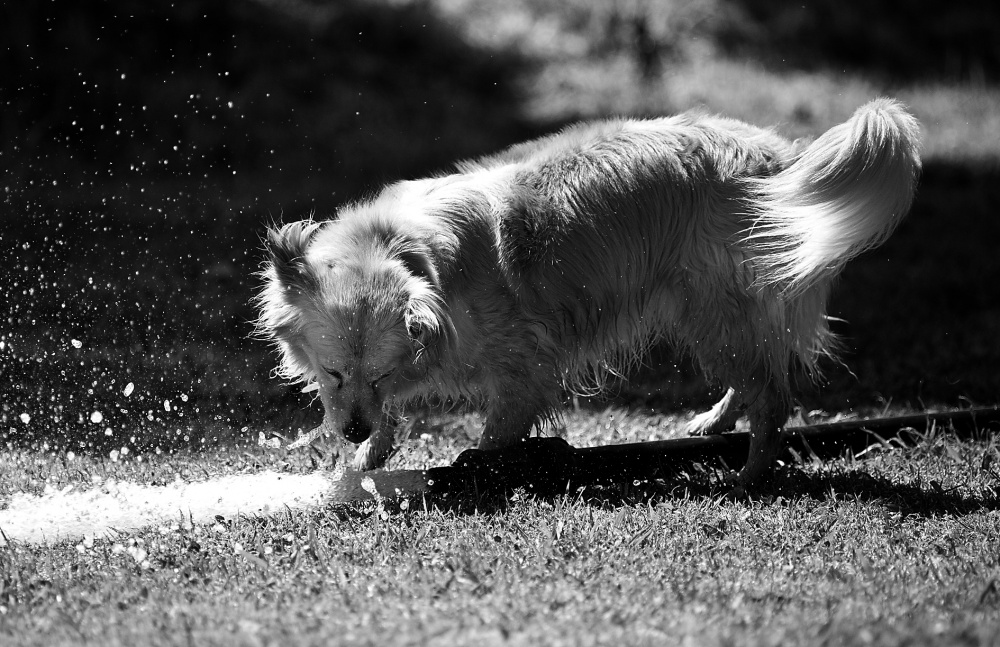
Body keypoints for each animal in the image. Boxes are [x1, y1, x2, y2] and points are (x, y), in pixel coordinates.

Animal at [256, 98, 920, 488]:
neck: (409, 251)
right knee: (763, 374)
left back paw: (749, 476)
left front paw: (476, 465)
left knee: (774, 396)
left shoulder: (526, 369)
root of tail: (779, 158)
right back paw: (713, 421)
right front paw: (366, 456)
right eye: (334, 372)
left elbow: (497, 430)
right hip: (716, 317)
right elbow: (392, 419)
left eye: (376, 372)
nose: (349, 432)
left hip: (712, 313)